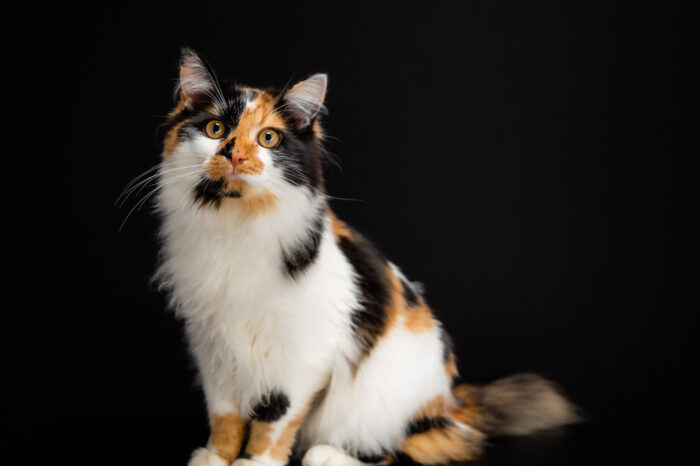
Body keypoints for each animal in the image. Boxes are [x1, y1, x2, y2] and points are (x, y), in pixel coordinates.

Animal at [154, 48, 580, 466]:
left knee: (395, 450)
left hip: (374, 400)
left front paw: (256, 462)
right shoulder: (213, 345)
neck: (236, 222)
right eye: (215, 130)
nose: (237, 157)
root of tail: (449, 401)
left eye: (269, 138)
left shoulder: (304, 354)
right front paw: (215, 457)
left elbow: (275, 418)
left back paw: (326, 456)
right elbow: (224, 414)